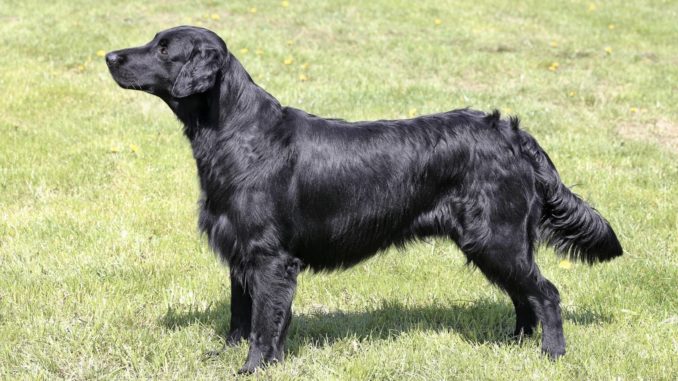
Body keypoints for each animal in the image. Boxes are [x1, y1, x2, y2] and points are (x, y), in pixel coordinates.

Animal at [106, 26, 620, 372]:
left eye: (164, 48)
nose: (110, 55)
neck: (236, 131)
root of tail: (511, 132)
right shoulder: (240, 253)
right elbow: (240, 315)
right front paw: (227, 354)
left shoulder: (270, 258)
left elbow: (263, 322)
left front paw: (253, 367)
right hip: (494, 243)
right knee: (524, 297)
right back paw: (513, 345)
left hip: (498, 237)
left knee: (546, 294)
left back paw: (551, 354)